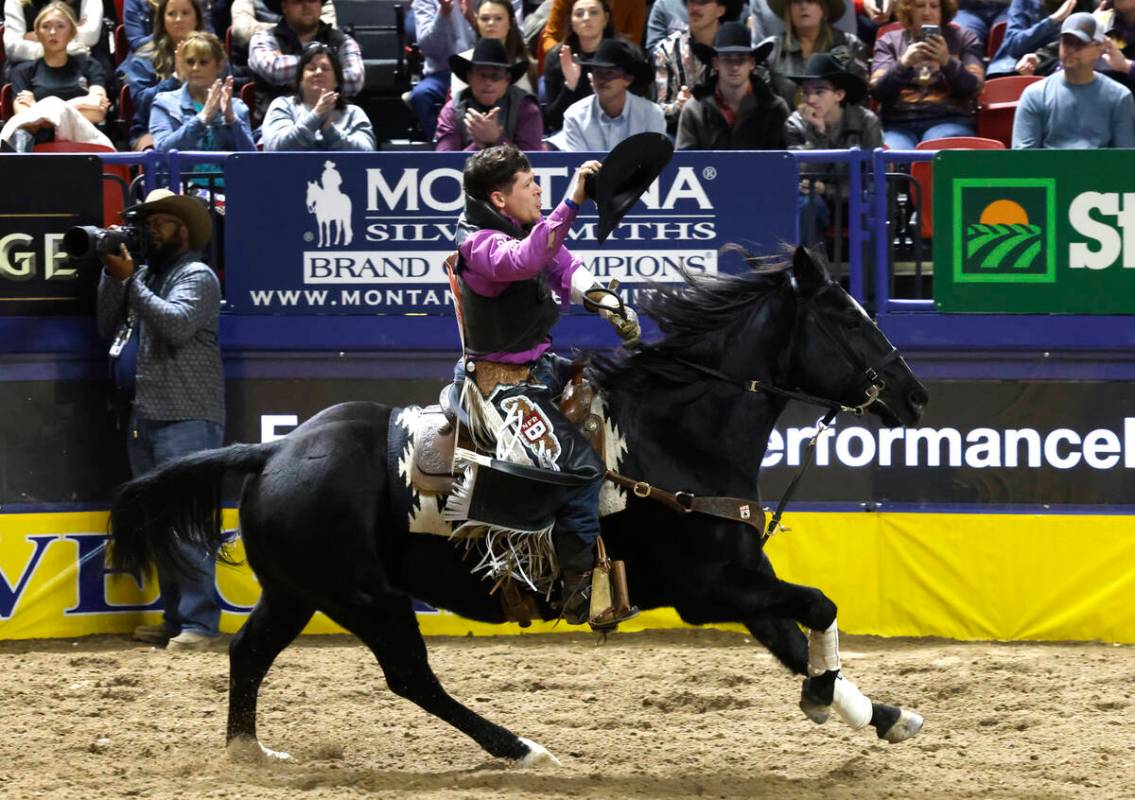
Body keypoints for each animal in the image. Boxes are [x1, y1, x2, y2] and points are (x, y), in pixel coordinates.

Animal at [110, 246, 930, 762]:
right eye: (846, 319)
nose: (916, 396)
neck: (671, 436)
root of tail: (273, 452)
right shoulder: (710, 589)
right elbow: (818, 607)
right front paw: (826, 698)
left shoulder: (742, 582)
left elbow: (794, 636)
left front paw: (884, 715)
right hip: (366, 598)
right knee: (411, 678)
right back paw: (518, 747)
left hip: (296, 593)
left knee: (249, 654)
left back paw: (250, 752)